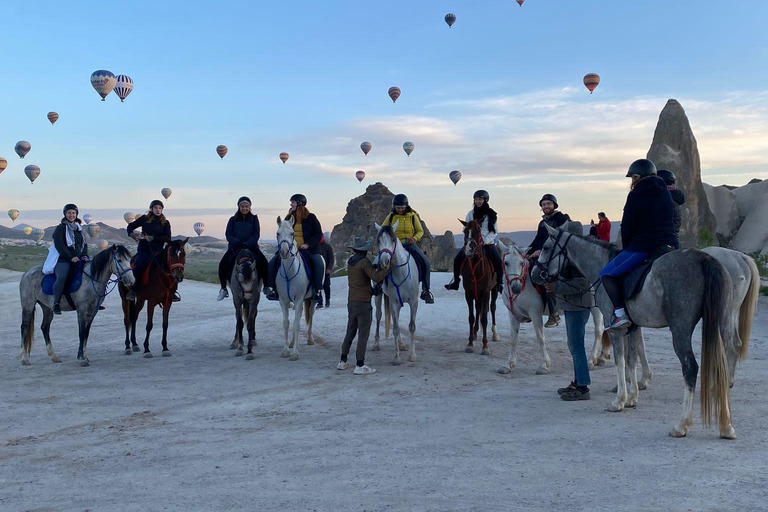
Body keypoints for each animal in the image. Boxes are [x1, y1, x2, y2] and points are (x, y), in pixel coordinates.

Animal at [272, 216, 320, 360]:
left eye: (292, 233)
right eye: (278, 234)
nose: (284, 252)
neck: (289, 272)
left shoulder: (298, 300)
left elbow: (297, 325)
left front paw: (295, 353)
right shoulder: (283, 301)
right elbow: (286, 323)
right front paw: (286, 350)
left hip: (312, 298)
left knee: (311, 314)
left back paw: (310, 339)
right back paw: (293, 342)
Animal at [372, 223, 420, 364]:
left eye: (393, 240)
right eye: (379, 240)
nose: (384, 262)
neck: (401, 273)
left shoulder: (413, 302)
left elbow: (411, 326)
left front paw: (412, 355)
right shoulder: (394, 303)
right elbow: (396, 328)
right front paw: (397, 357)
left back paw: (401, 344)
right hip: (379, 296)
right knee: (378, 316)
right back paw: (376, 344)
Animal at [460, 219, 500, 356]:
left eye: (478, 231)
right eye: (465, 231)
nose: (468, 249)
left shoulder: (486, 293)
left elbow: (484, 318)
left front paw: (485, 347)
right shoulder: (469, 293)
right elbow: (471, 317)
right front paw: (470, 344)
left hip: (494, 290)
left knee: (492, 308)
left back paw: (494, 334)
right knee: (479, 309)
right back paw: (476, 332)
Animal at [498, 240, 612, 376]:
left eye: (521, 263)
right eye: (506, 263)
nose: (516, 287)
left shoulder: (535, 313)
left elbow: (540, 337)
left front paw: (544, 365)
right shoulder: (513, 314)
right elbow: (513, 338)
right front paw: (508, 364)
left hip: (596, 309)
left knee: (598, 331)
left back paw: (591, 360)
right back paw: (601, 357)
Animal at [532, 225, 740, 440]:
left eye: (546, 247)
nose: (534, 273)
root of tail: (703, 258)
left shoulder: (615, 329)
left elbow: (620, 361)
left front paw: (619, 401)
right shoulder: (633, 328)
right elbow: (632, 359)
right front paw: (632, 398)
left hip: (680, 329)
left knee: (690, 367)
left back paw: (682, 424)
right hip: (722, 323)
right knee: (724, 362)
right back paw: (726, 426)